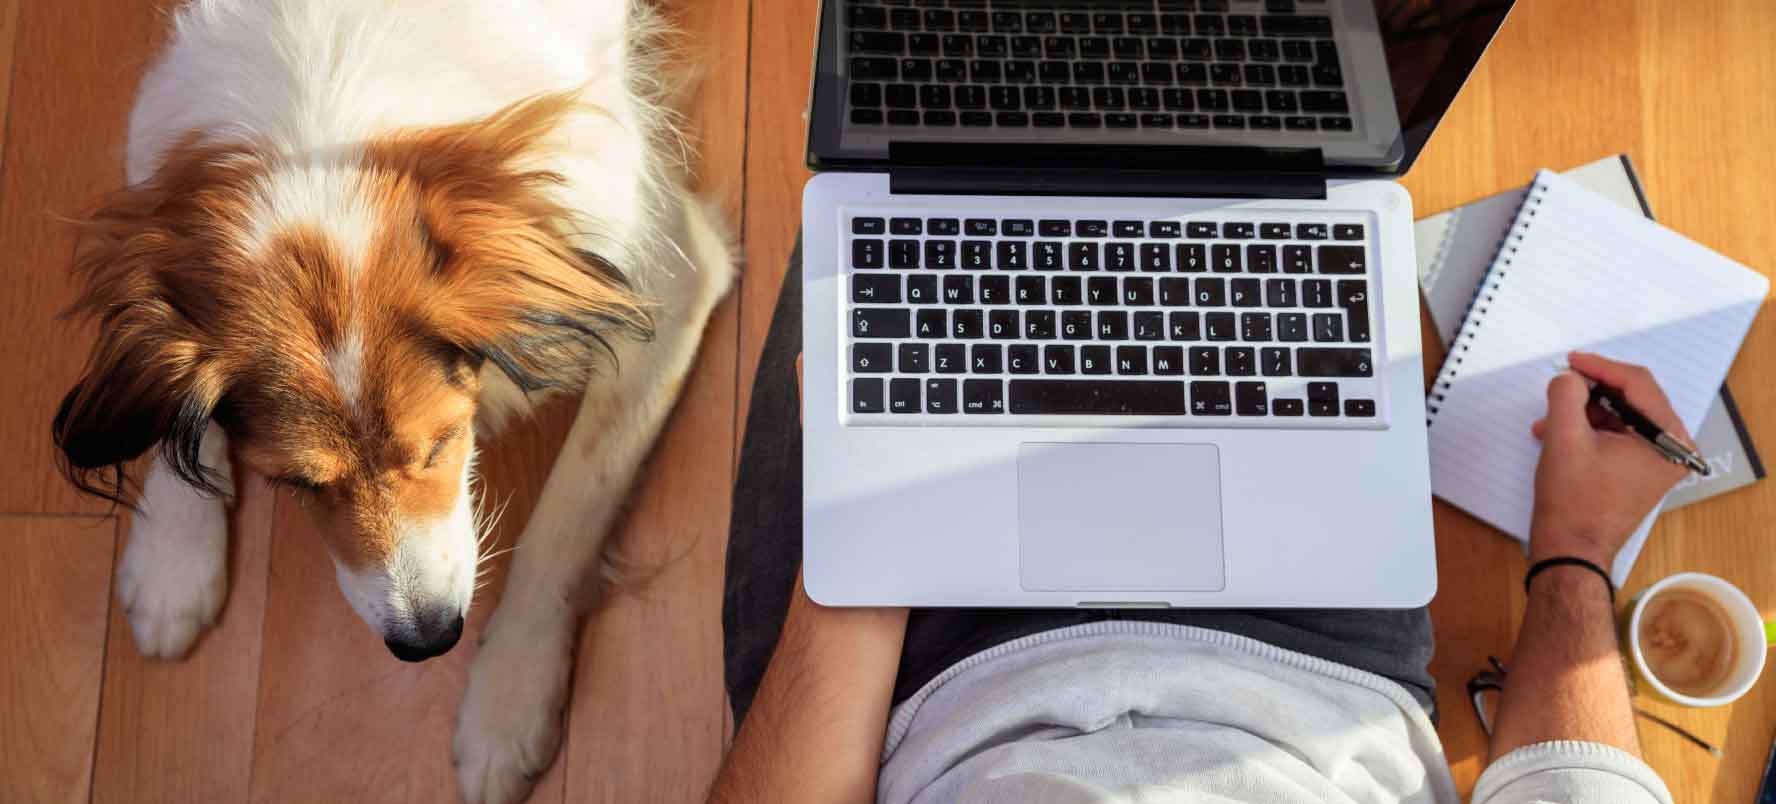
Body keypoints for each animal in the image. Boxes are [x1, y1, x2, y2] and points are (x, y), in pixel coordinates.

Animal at [48, 3, 731, 798]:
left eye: (442, 443)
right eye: (296, 481)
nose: (427, 641)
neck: (329, 136)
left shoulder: (664, 276)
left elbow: (567, 513)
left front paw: (508, 699)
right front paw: (172, 558)